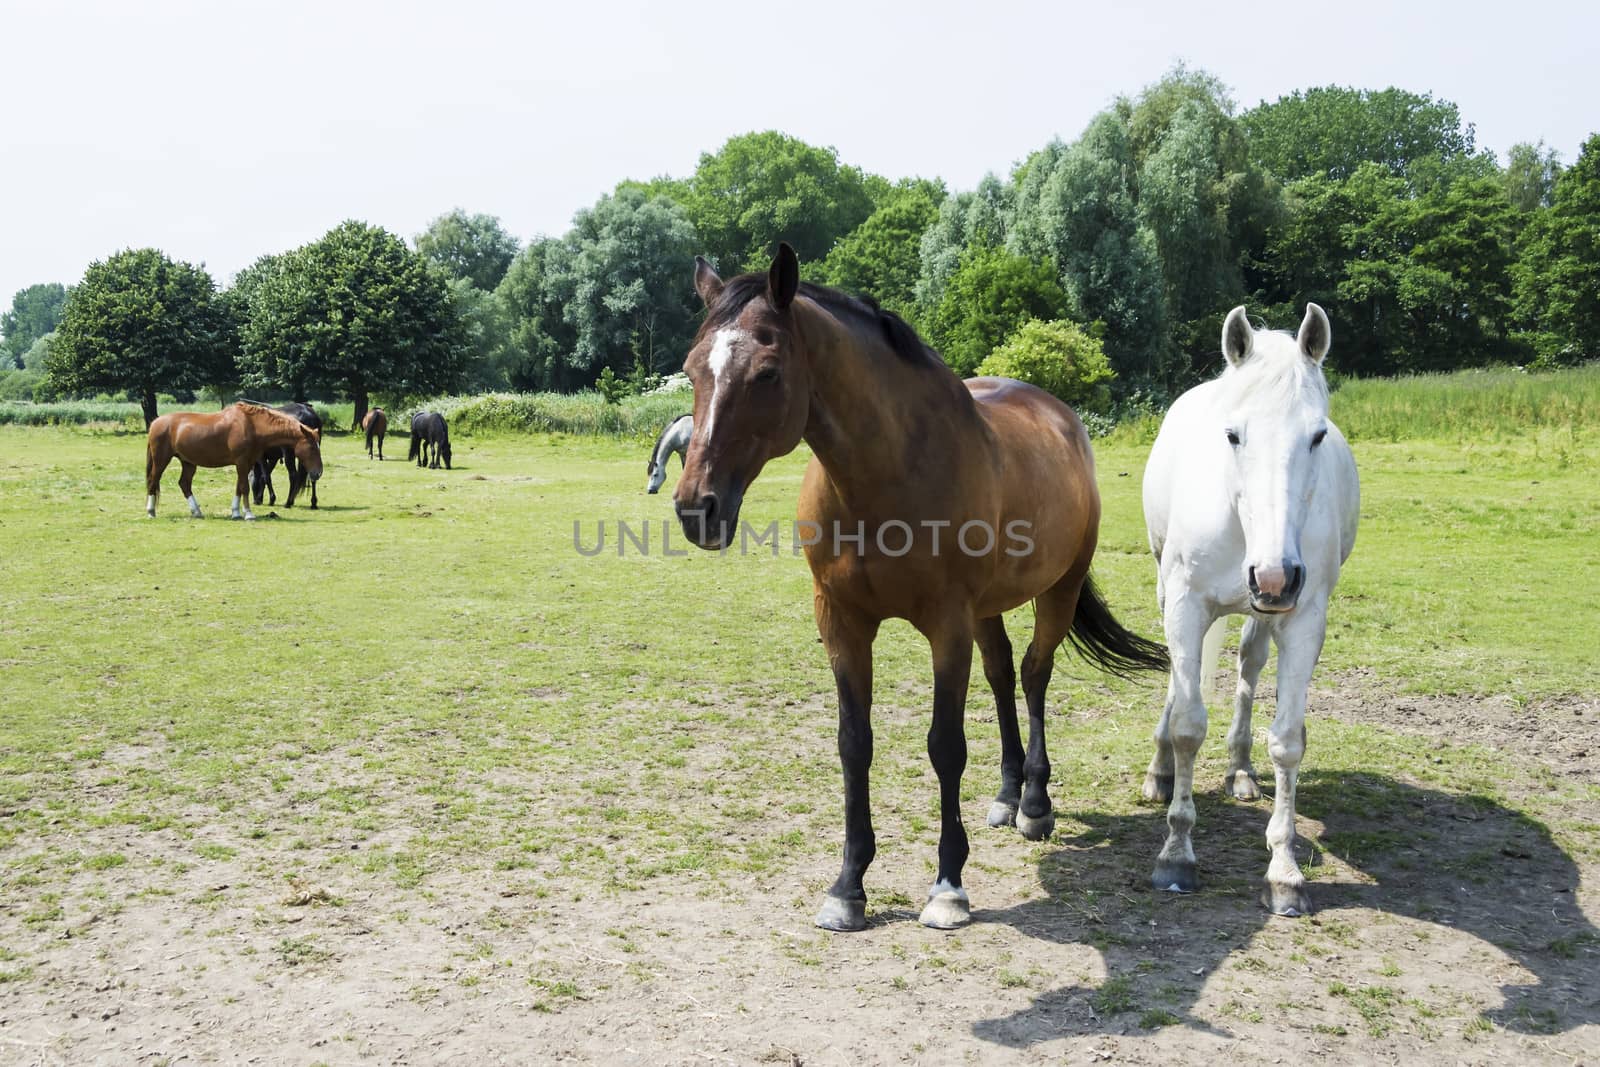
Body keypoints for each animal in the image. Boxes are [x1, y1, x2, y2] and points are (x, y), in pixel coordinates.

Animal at [148, 403, 323, 518]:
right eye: (312, 447)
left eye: (319, 445)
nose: (318, 472)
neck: (252, 426)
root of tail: (156, 422)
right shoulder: (243, 462)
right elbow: (245, 487)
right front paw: (248, 514)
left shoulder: (246, 463)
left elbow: (240, 486)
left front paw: (236, 512)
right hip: (161, 460)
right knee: (153, 480)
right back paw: (151, 512)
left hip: (188, 463)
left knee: (184, 484)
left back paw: (197, 512)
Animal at [672, 246, 1164, 927]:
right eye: (692, 369)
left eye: (767, 372)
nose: (698, 508)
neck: (885, 479)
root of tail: (1060, 416)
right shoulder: (843, 622)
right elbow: (854, 744)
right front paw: (848, 886)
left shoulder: (946, 626)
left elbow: (945, 746)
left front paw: (948, 885)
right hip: (987, 611)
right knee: (1003, 674)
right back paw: (1007, 793)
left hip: (1055, 592)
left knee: (1034, 675)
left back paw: (1034, 803)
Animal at [1145, 302, 1356, 921]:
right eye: (1233, 434)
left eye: (1317, 435)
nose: (1275, 573)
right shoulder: (1186, 606)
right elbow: (1188, 724)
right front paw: (1176, 855)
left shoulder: (1304, 617)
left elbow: (1287, 740)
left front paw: (1284, 872)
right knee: (1178, 682)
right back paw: (1160, 771)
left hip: (1265, 609)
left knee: (1249, 664)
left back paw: (1239, 768)